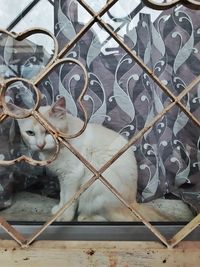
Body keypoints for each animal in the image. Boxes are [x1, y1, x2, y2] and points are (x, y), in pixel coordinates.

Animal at [9, 98, 169, 222]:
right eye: (30, 133)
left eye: (49, 132)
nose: (40, 145)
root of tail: (132, 202)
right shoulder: (63, 177)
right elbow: (62, 196)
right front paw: (59, 209)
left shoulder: (72, 175)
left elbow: (69, 200)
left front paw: (64, 217)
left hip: (96, 188)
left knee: (111, 218)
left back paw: (85, 217)